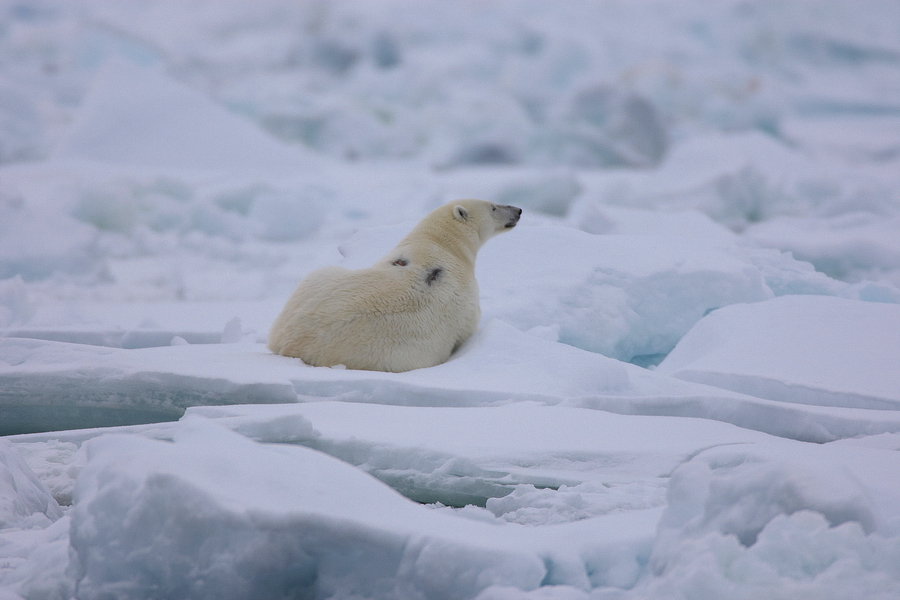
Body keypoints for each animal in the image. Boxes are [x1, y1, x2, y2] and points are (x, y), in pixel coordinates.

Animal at [268, 200, 520, 370]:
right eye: (493, 207)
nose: (518, 210)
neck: (440, 245)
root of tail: (288, 345)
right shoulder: (466, 300)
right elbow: (468, 324)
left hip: (313, 286)